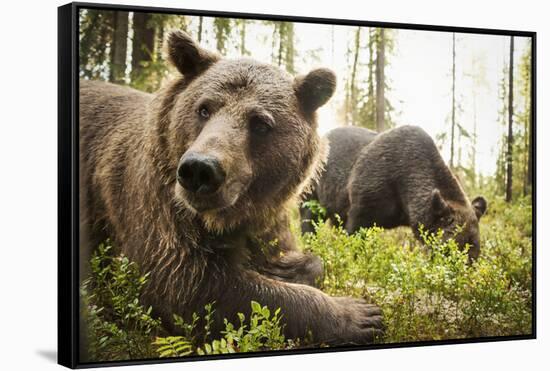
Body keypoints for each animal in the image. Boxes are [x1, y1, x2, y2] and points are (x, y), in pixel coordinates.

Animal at [80, 30, 386, 348]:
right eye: (203, 108)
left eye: (260, 123)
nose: (200, 169)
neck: (228, 217)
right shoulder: (156, 209)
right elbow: (190, 287)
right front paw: (360, 314)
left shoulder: (268, 218)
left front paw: (289, 268)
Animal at [304, 125, 490, 262]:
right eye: (452, 247)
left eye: (475, 246)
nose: (466, 266)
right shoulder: (362, 205)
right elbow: (355, 234)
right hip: (312, 188)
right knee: (308, 218)